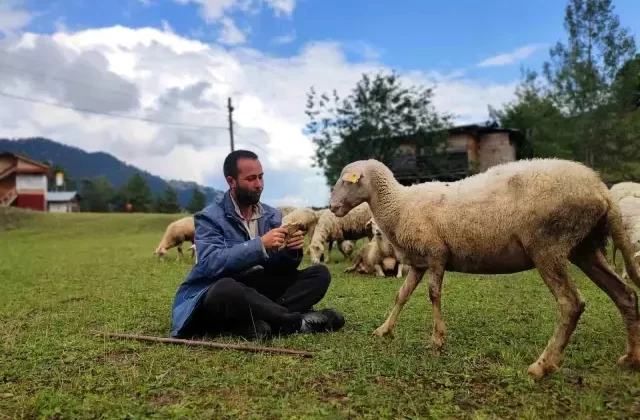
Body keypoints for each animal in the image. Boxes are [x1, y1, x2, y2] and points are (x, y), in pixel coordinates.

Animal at [328, 158, 640, 380]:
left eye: (347, 180)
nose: (331, 207)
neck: (398, 204)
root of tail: (601, 189)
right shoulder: (418, 262)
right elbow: (401, 296)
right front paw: (384, 330)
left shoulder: (436, 254)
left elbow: (433, 294)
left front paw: (437, 340)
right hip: (584, 248)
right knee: (625, 294)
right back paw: (631, 358)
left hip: (548, 246)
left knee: (571, 304)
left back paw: (542, 365)